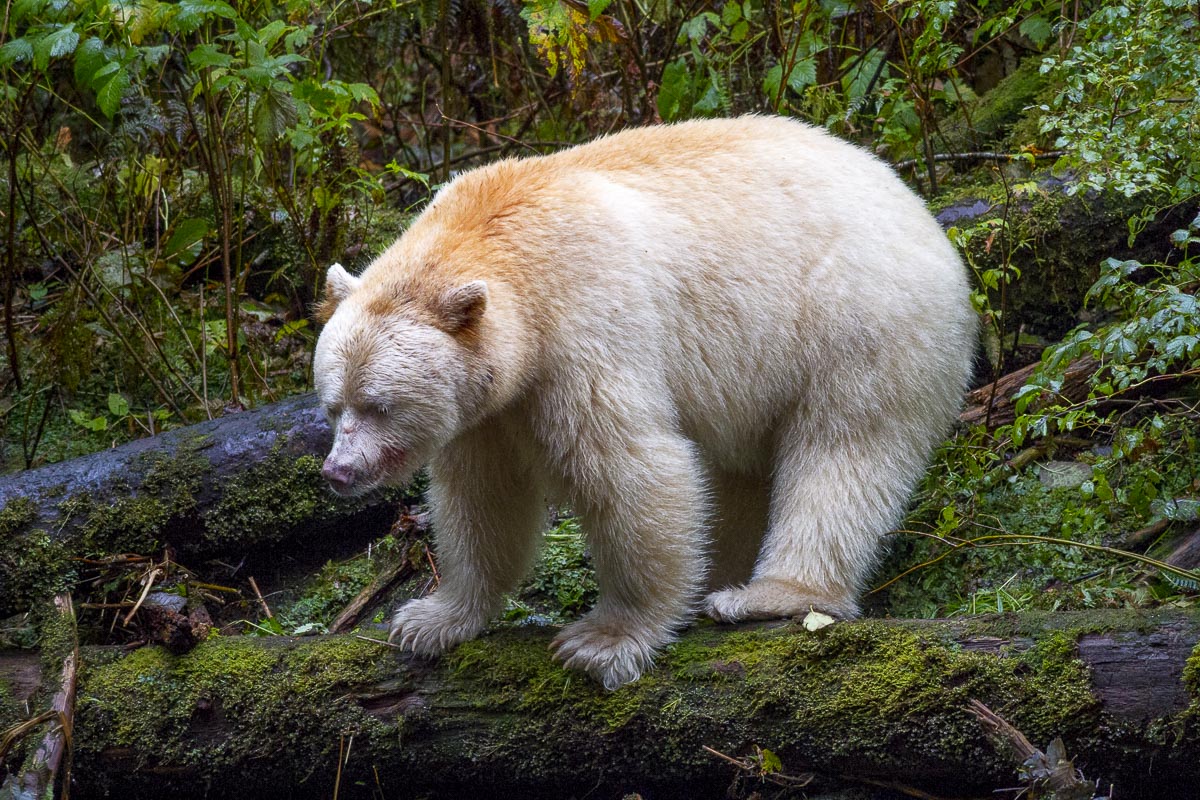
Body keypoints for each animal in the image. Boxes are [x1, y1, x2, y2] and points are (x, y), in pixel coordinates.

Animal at [313, 115, 976, 690]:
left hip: (857, 321)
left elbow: (629, 468)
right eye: (332, 405)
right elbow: (483, 496)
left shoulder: (582, 323)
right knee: (740, 476)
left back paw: (770, 595)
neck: (502, 241)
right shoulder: (491, 407)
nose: (339, 472)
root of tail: (922, 212)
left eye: (378, 404)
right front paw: (430, 619)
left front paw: (603, 641)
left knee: (843, 451)